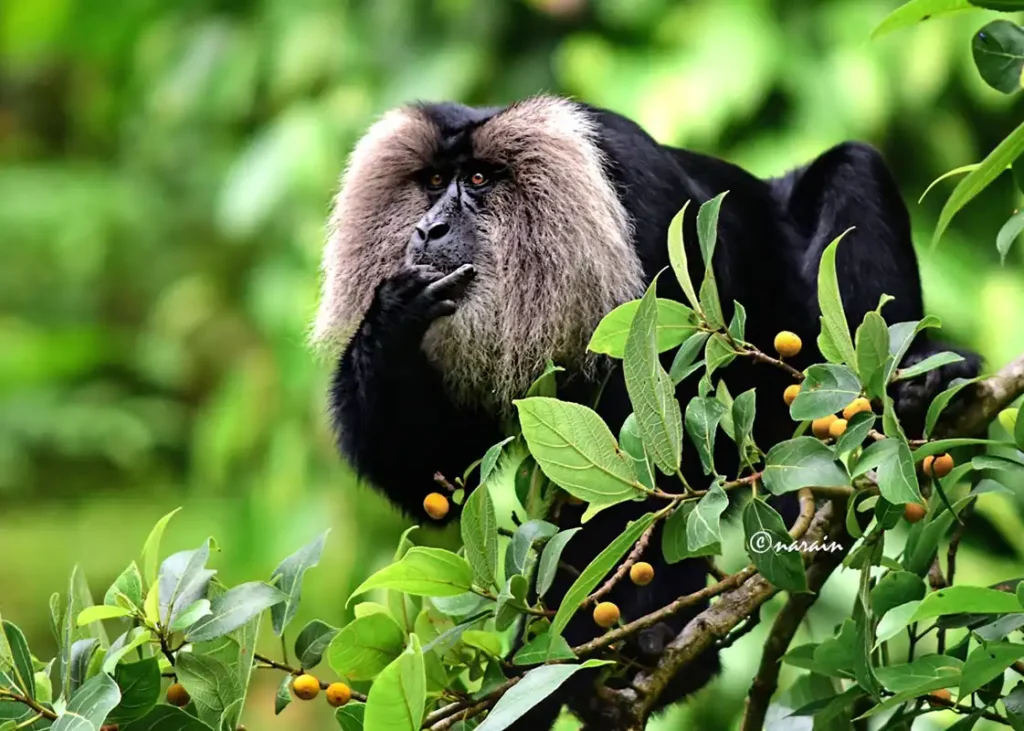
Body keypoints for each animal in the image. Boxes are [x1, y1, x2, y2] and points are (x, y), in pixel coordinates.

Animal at [312, 96, 980, 729]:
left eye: (477, 179)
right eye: (431, 182)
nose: (429, 228)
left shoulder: (654, 227)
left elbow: (662, 458)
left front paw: (626, 638)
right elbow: (441, 479)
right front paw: (393, 313)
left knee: (853, 167)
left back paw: (916, 389)